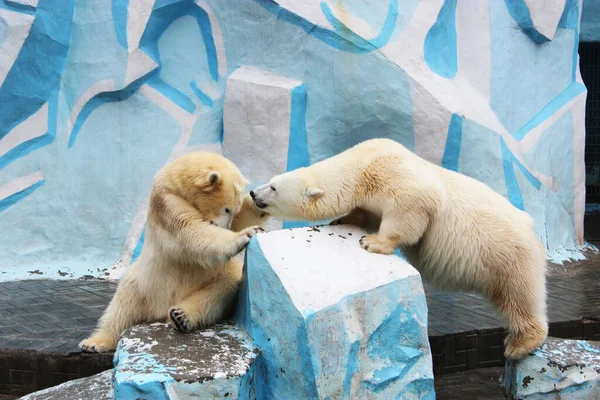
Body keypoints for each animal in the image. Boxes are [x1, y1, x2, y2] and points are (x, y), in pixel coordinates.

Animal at [79, 152, 268, 352]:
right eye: (226, 208)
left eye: (234, 209)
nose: (225, 227)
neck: (179, 184)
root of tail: (159, 310)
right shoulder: (167, 201)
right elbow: (189, 229)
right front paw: (246, 233)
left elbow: (240, 221)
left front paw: (257, 204)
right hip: (143, 282)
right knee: (121, 306)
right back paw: (95, 342)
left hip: (215, 275)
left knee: (223, 288)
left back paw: (180, 316)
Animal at [251, 138, 552, 360]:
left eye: (273, 187)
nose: (254, 193)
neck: (365, 163)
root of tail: (532, 229)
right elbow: (364, 213)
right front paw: (342, 219)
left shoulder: (400, 179)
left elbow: (410, 209)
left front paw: (372, 242)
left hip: (507, 254)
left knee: (518, 295)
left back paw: (519, 344)